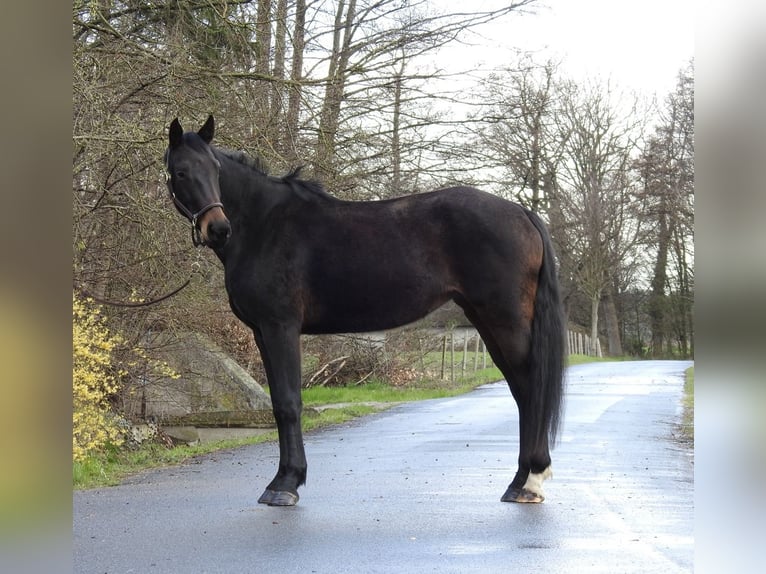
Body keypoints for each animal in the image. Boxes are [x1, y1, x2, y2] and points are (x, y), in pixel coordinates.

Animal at [163, 115, 565, 506]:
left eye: (215, 169)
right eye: (180, 172)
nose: (218, 228)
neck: (264, 225)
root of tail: (522, 212)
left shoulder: (280, 327)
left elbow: (290, 403)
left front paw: (286, 483)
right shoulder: (262, 331)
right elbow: (278, 401)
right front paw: (284, 478)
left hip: (505, 319)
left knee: (531, 386)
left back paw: (531, 481)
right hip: (485, 320)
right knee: (521, 390)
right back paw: (519, 482)